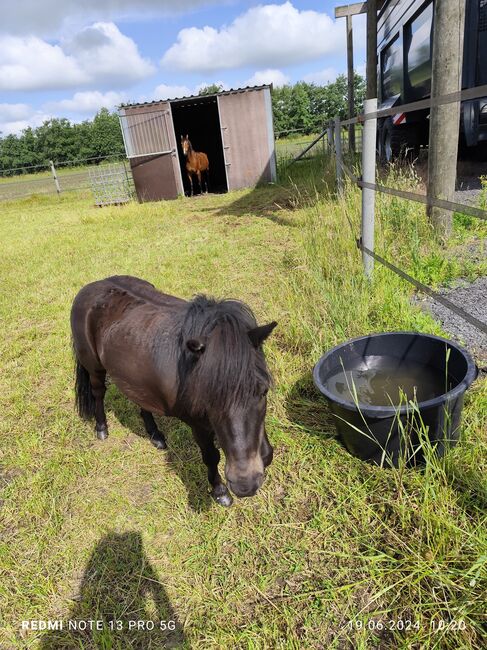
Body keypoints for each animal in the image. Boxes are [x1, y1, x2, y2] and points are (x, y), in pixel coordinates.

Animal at [72, 274, 278, 506]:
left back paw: (155, 435)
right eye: (210, 397)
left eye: (263, 392)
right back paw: (101, 428)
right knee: (98, 393)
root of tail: (91, 286)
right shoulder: (198, 424)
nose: (245, 485)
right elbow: (211, 456)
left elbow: (266, 452)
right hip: (94, 368)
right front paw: (219, 491)